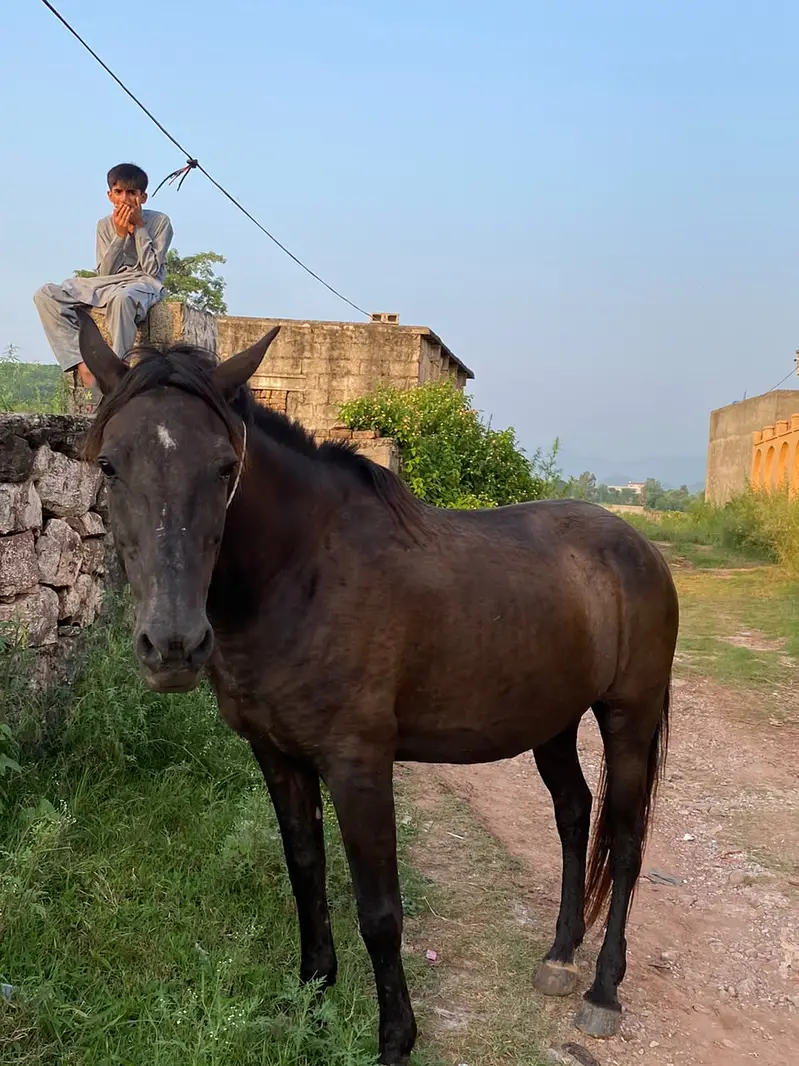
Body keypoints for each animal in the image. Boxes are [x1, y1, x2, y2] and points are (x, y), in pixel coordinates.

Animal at [77, 316, 678, 1065]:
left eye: (223, 465)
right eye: (110, 464)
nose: (174, 647)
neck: (301, 572)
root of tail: (640, 547)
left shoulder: (358, 765)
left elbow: (380, 910)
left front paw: (395, 1039)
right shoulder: (278, 756)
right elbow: (306, 875)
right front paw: (311, 1003)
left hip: (628, 717)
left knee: (623, 842)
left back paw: (602, 991)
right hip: (553, 723)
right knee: (573, 816)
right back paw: (559, 957)